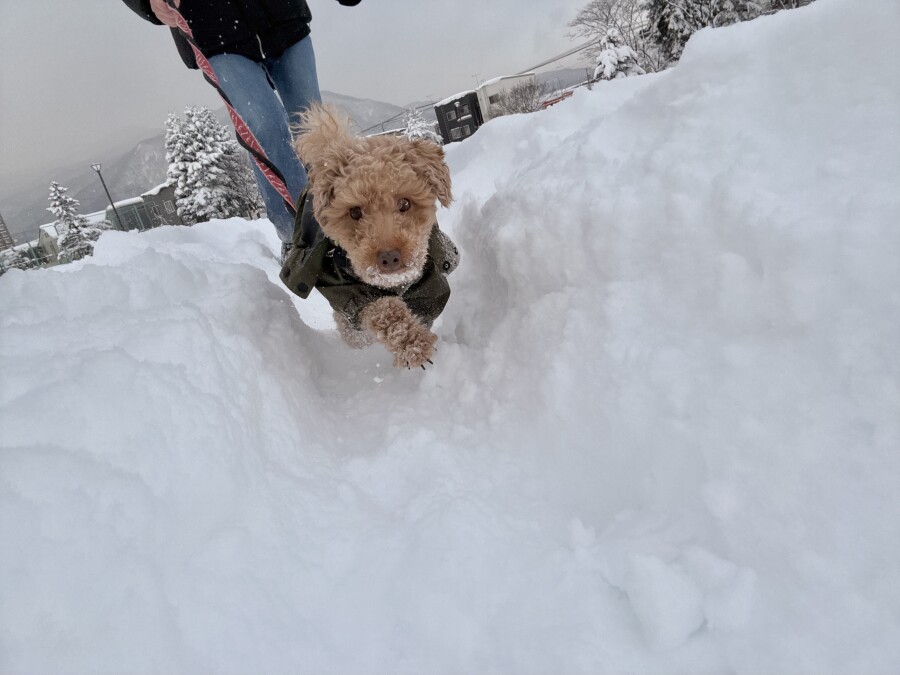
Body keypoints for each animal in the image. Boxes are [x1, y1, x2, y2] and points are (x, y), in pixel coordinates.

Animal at [280, 104, 458, 369]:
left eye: (405, 203)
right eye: (355, 212)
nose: (389, 257)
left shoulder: (429, 284)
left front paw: (417, 342)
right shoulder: (351, 291)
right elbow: (384, 311)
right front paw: (415, 348)